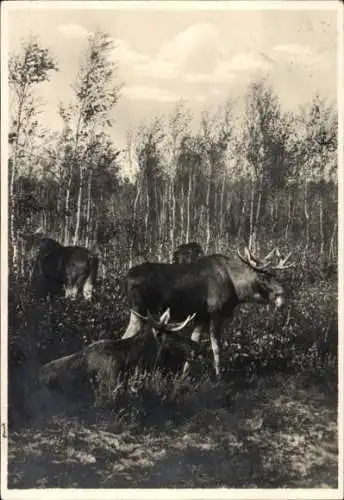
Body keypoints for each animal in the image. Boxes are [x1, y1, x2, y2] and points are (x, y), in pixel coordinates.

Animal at [121, 246, 292, 378]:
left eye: (275, 275)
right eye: (263, 277)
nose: (282, 295)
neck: (237, 291)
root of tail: (126, 278)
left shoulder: (200, 318)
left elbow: (193, 346)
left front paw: (184, 376)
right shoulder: (215, 314)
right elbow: (216, 347)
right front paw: (219, 376)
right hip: (139, 312)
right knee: (127, 339)